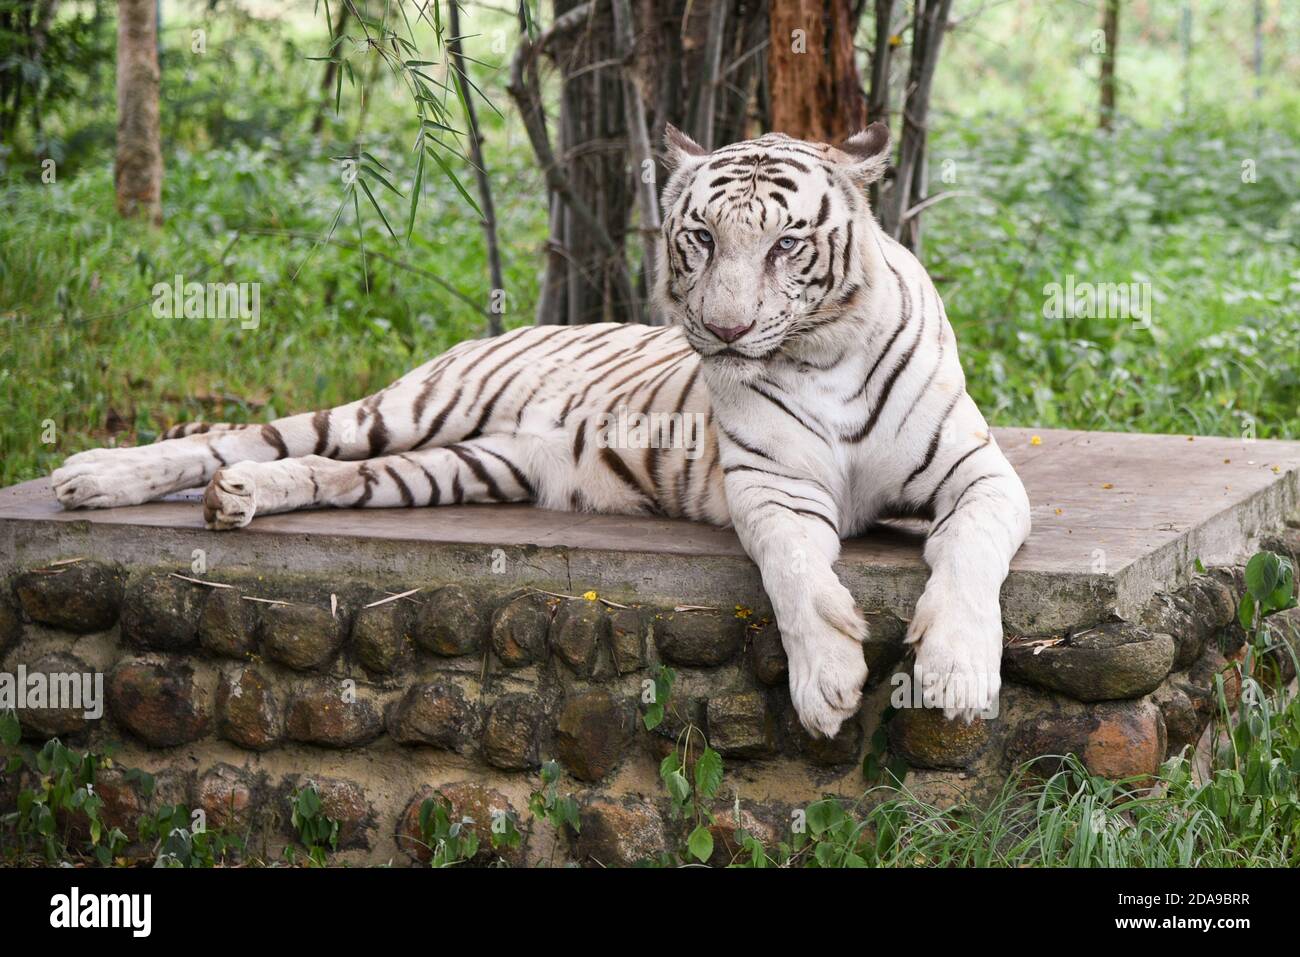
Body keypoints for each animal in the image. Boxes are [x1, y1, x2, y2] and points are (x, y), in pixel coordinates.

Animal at [50, 122, 1031, 738]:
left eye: (787, 243)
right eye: (700, 238)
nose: (723, 331)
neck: (820, 351)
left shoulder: (980, 472)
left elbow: (969, 549)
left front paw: (956, 671)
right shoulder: (772, 486)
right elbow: (795, 569)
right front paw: (828, 677)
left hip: (460, 466)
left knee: (327, 472)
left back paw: (240, 498)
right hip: (406, 408)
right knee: (249, 437)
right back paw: (93, 474)